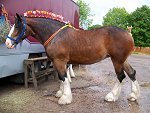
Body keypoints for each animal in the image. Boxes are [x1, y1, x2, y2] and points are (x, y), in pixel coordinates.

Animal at [5, 13, 140, 104]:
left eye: (17, 27)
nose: (7, 43)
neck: (55, 35)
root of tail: (128, 33)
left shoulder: (59, 61)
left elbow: (63, 77)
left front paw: (65, 98)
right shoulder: (58, 62)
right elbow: (61, 77)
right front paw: (60, 93)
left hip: (116, 60)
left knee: (121, 76)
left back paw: (111, 96)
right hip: (123, 60)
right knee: (132, 73)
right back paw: (133, 96)